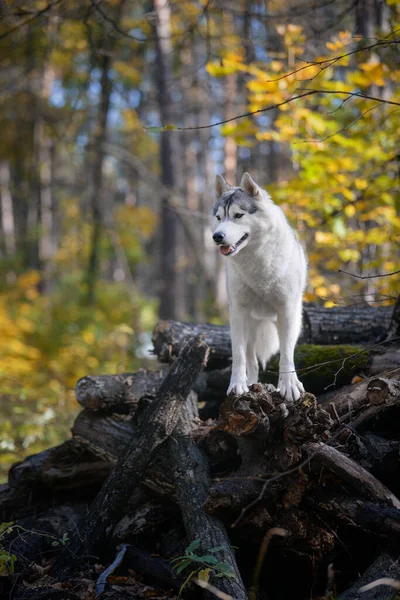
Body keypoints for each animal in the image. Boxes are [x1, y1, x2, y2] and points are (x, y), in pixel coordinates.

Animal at [212, 173, 306, 404]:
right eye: (218, 217)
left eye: (238, 215)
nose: (217, 236)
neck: (256, 262)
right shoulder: (237, 313)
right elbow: (238, 357)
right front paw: (237, 386)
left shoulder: (286, 311)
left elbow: (286, 356)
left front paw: (289, 387)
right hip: (250, 327)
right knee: (251, 360)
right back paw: (251, 385)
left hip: (291, 322)